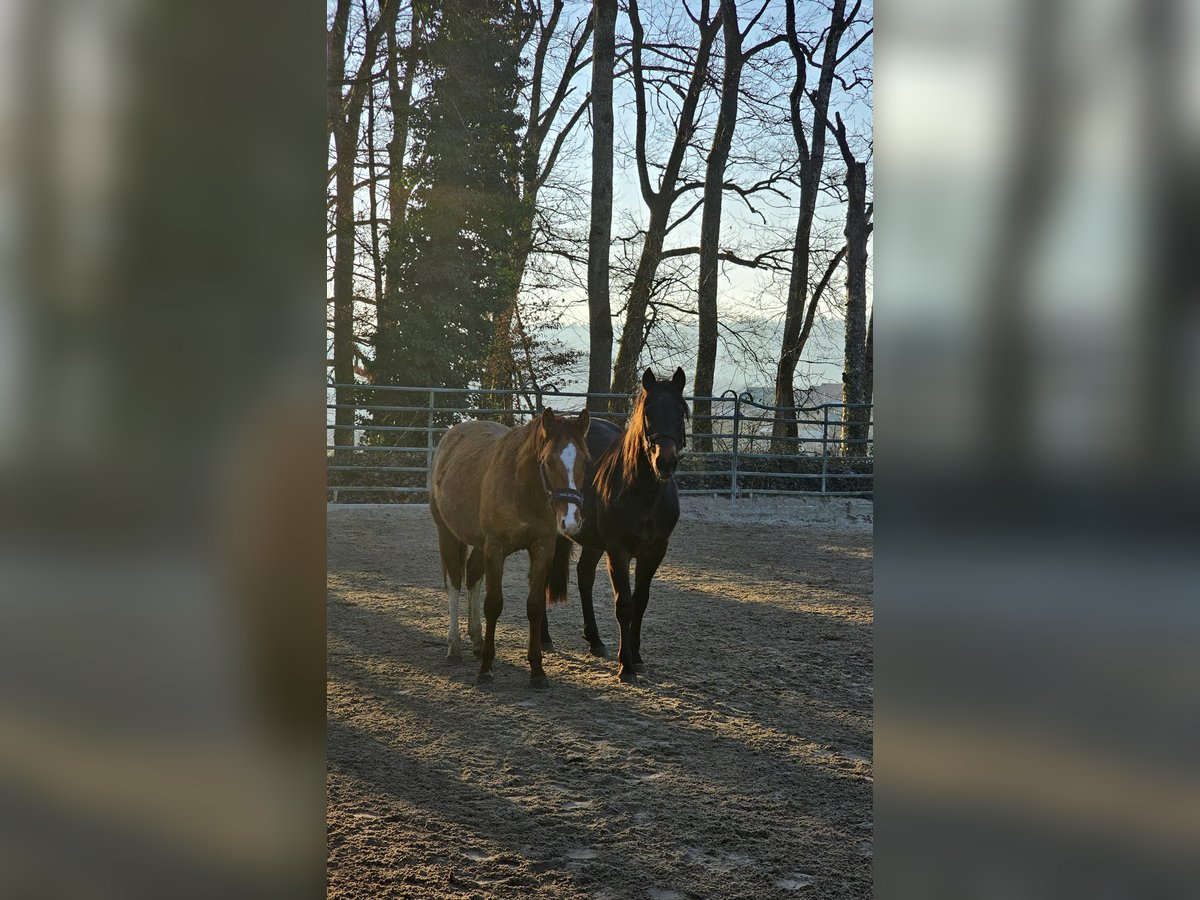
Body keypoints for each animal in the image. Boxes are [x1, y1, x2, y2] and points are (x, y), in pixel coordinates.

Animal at [432, 408, 590, 691]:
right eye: (549, 460)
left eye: (584, 460)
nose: (571, 520)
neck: (524, 486)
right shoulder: (496, 549)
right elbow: (493, 604)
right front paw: (485, 669)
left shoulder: (542, 548)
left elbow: (535, 606)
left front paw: (537, 670)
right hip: (447, 533)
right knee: (454, 583)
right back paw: (455, 646)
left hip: (479, 544)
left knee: (472, 576)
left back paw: (477, 640)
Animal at [549, 367, 691, 681]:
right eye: (648, 412)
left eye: (681, 412)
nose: (665, 462)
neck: (643, 493)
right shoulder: (618, 550)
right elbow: (624, 604)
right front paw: (625, 665)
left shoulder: (655, 551)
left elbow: (640, 602)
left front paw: (636, 657)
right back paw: (544, 640)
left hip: (592, 542)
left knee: (584, 576)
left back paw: (595, 640)